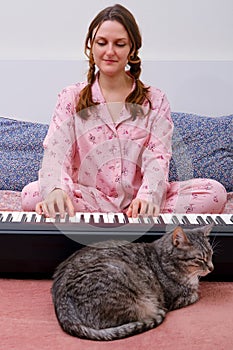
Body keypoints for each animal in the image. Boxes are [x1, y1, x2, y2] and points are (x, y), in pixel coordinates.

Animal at [52, 224, 214, 342]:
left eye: (211, 254)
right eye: (200, 259)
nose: (212, 268)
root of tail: (64, 312)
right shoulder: (176, 299)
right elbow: (194, 295)